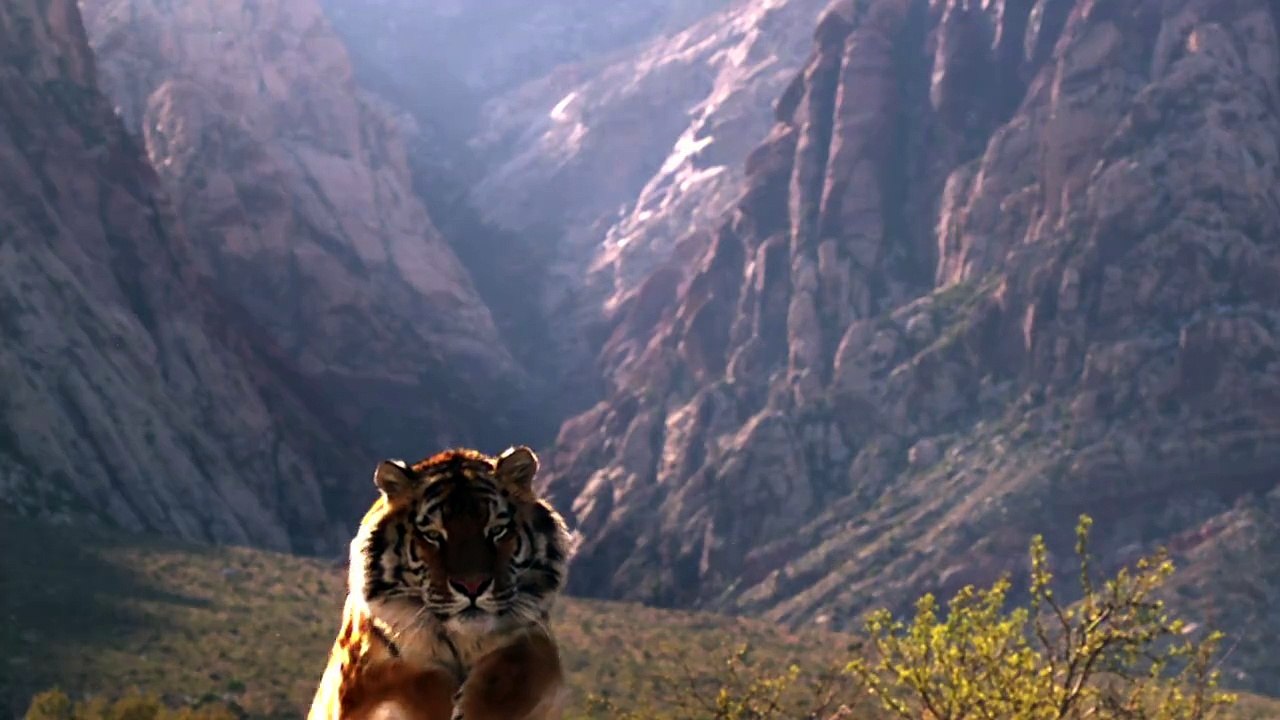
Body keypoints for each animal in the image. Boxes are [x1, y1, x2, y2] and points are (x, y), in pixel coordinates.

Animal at [307, 445, 574, 720]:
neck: (462, 641)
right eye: (433, 535)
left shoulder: (535, 637)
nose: (472, 587)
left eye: (497, 530)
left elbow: (519, 666)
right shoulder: (355, 680)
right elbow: (411, 678)